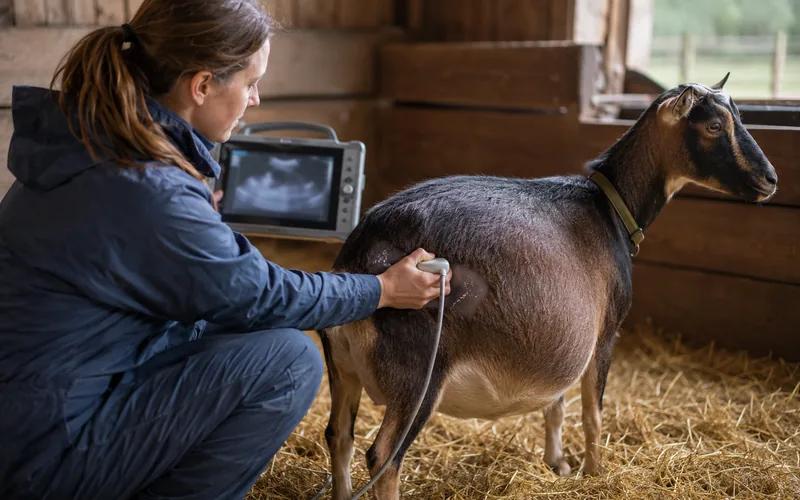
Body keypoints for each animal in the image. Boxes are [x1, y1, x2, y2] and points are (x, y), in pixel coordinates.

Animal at [317, 76, 778, 499]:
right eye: (714, 125)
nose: (770, 179)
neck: (610, 208)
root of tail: (363, 253)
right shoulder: (605, 332)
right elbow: (592, 411)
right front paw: (595, 472)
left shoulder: (566, 336)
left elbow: (556, 404)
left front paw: (558, 463)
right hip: (417, 372)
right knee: (383, 456)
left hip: (341, 368)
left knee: (338, 436)